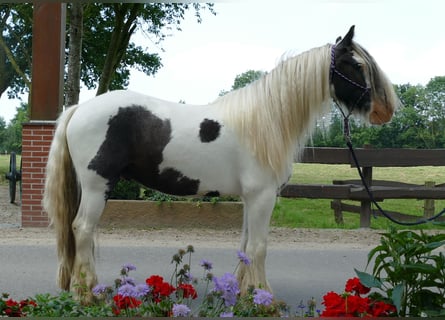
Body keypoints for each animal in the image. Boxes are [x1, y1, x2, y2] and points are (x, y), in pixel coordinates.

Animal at [44, 25, 398, 300]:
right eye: (355, 65)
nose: (386, 111)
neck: (267, 120)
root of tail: (79, 109)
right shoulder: (262, 196)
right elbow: (258, 246)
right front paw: (262, 297)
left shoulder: (251, 198)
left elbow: (245, 245)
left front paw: (244, 291)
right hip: (97, 186)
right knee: (82, 229)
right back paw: (87, 293)